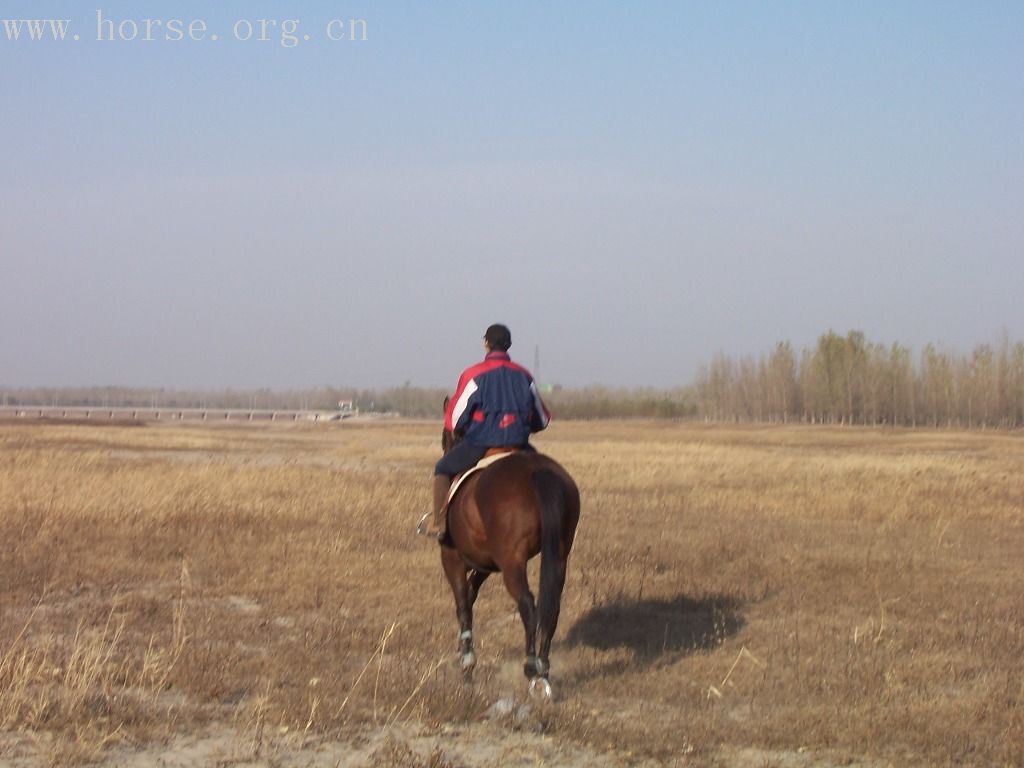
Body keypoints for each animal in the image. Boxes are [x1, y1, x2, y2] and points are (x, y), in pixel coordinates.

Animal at [438, 430, 581, 700]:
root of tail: (537, 471)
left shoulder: (453, 560)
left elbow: (463, 604)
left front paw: (467, 663)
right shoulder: (486, 564)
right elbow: (470, 595)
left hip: (512, 562)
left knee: (526, 602)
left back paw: (531, 667)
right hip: (559, 553)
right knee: (551, 608)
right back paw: (544, 669)